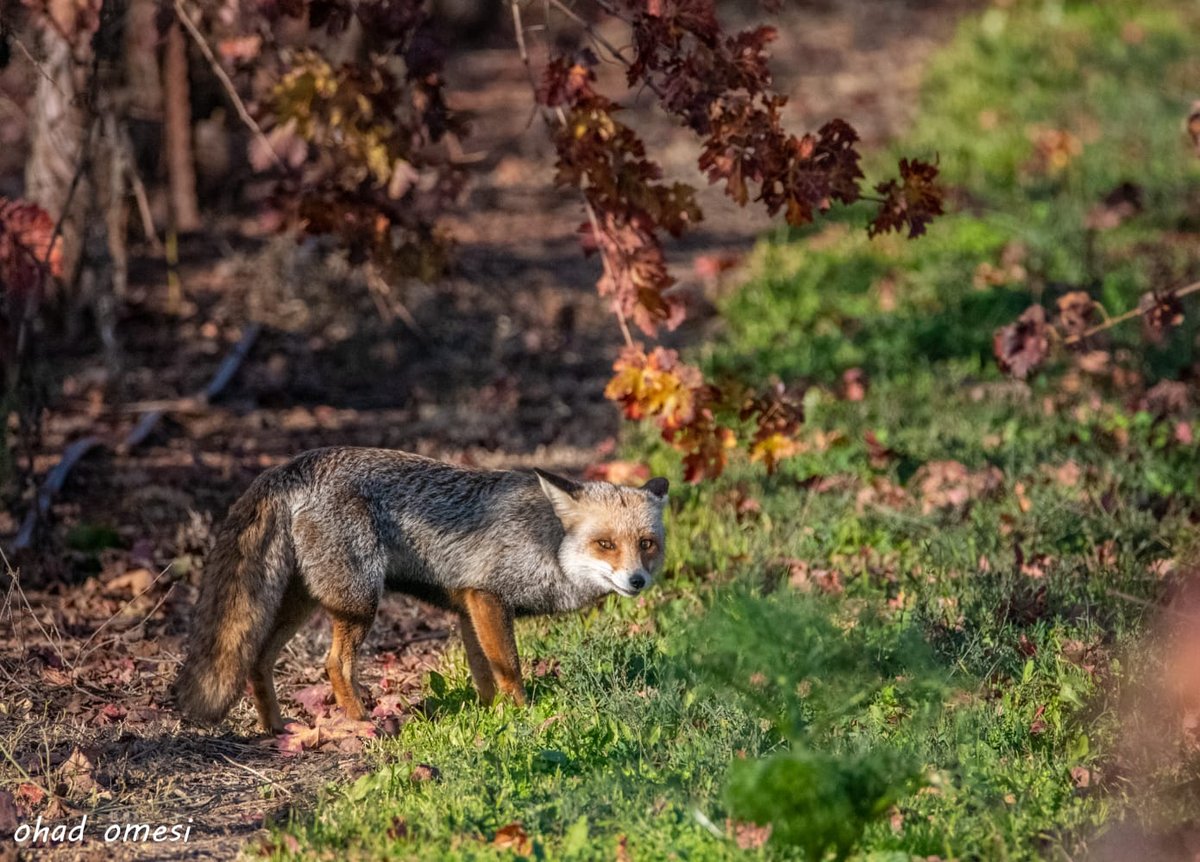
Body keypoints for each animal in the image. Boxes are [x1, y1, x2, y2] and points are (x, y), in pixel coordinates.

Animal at [174, 446, 672, 734]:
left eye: (646, 544)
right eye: (605, 544)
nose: (637, 581)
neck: (549, 542)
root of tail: (294, 465)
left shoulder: (469, 605)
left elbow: (483, 675)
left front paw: (490, 717)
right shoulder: (489, 596)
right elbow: (509, 670)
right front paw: (523, 717)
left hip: (304, 604)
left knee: (258, 659)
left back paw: (277, 728)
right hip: (360, 604)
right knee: (334, 664)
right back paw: (361, 724)